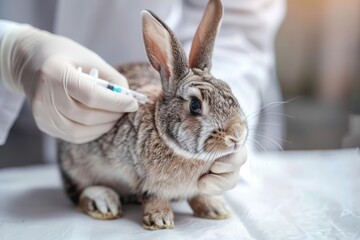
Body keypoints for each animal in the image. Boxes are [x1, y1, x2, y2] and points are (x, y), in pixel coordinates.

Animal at [59, 0, 249, 231]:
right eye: (195, 105)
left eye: (228, 89)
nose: (237, 135)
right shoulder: (144, 179)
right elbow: (154, 198)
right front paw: (160, 220)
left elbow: (198, 196)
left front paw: (215, 209)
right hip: (76, 164)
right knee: (80, 191)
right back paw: (103, 202)